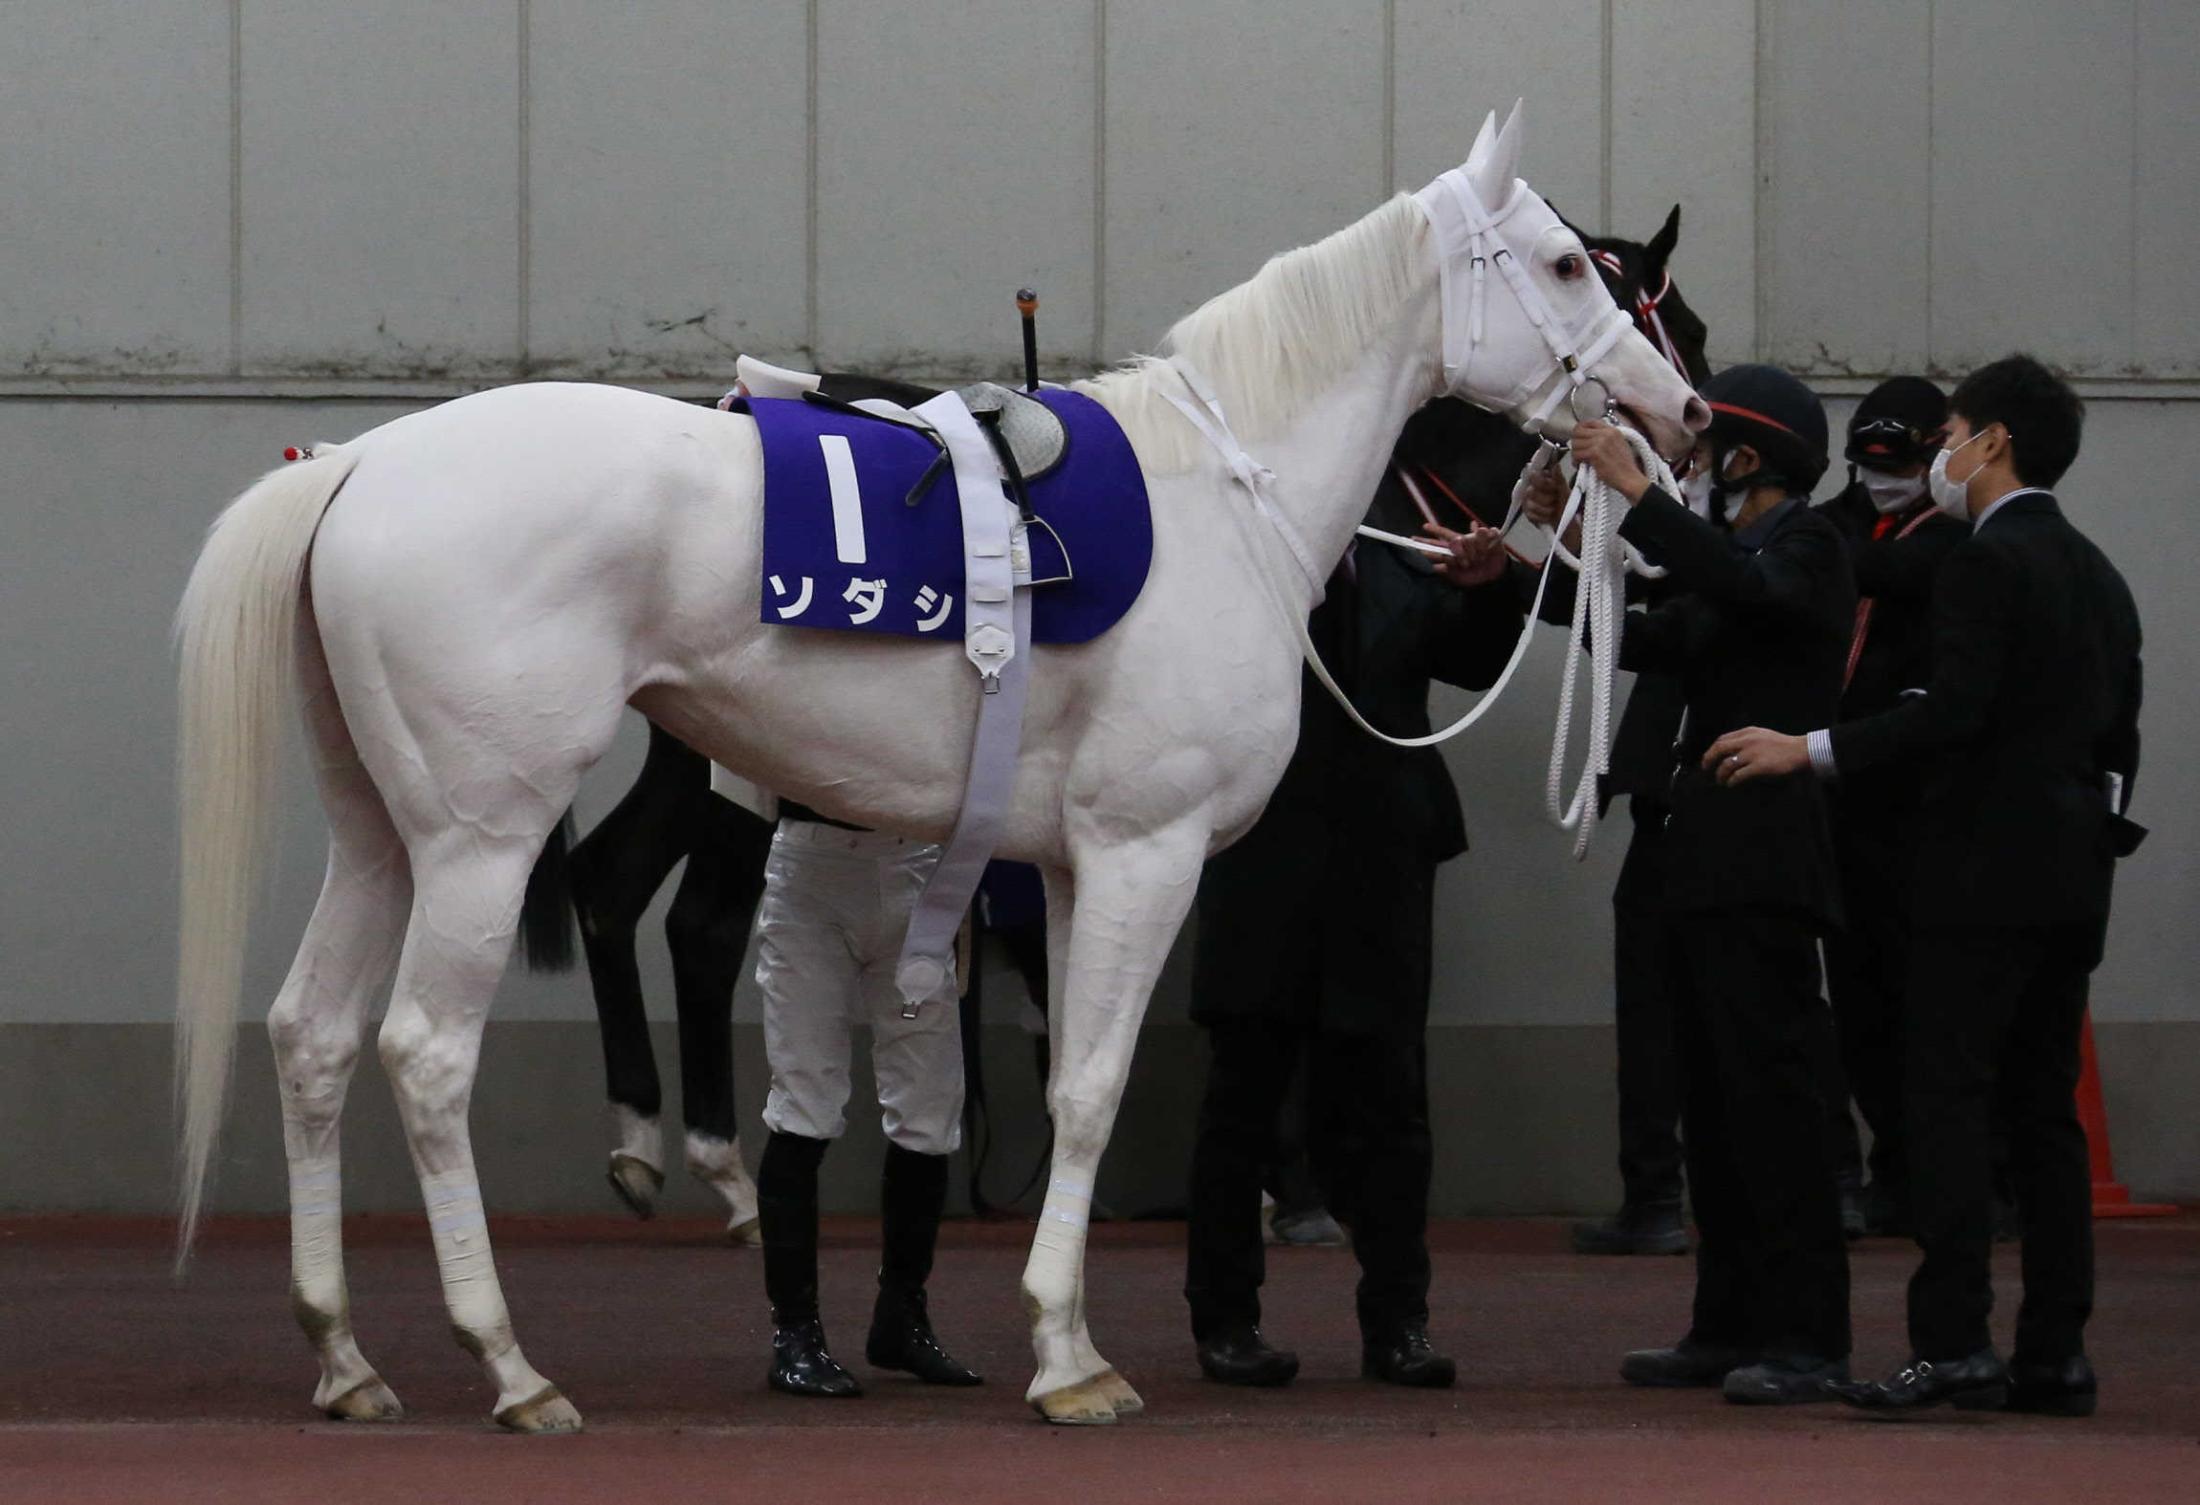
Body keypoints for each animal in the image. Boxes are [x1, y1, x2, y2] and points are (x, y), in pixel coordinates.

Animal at [180, 108, 1707, 1434]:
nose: (1681, 418)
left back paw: (346, 1356)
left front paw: (1069, 1343)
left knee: (312, 1034)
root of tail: (358, 464)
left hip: (382, 834)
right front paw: (1069, 1360)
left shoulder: (1086, 870)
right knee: (428, 1052)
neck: (1225, 501)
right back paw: (510, 1363)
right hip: (481, 841)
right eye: (1570, 266)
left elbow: (1071, 1079)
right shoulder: (1148, 853)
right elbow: (1092, 1087)